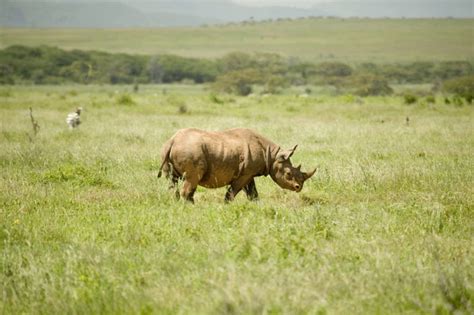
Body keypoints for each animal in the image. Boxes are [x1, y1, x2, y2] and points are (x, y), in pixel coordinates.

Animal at [157, 129, 316, 205]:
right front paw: (226, 205)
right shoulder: (245, 174)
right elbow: (232, 192)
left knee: (172, 180)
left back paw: (178, 203)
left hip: (167, 149)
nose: (298, 188)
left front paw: (257, 206)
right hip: (190, 150)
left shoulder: (249, 173)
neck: (272, 155)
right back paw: (191, 207)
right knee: (192, 179)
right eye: (288, 174)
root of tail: (173, 141)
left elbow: (253, 193)